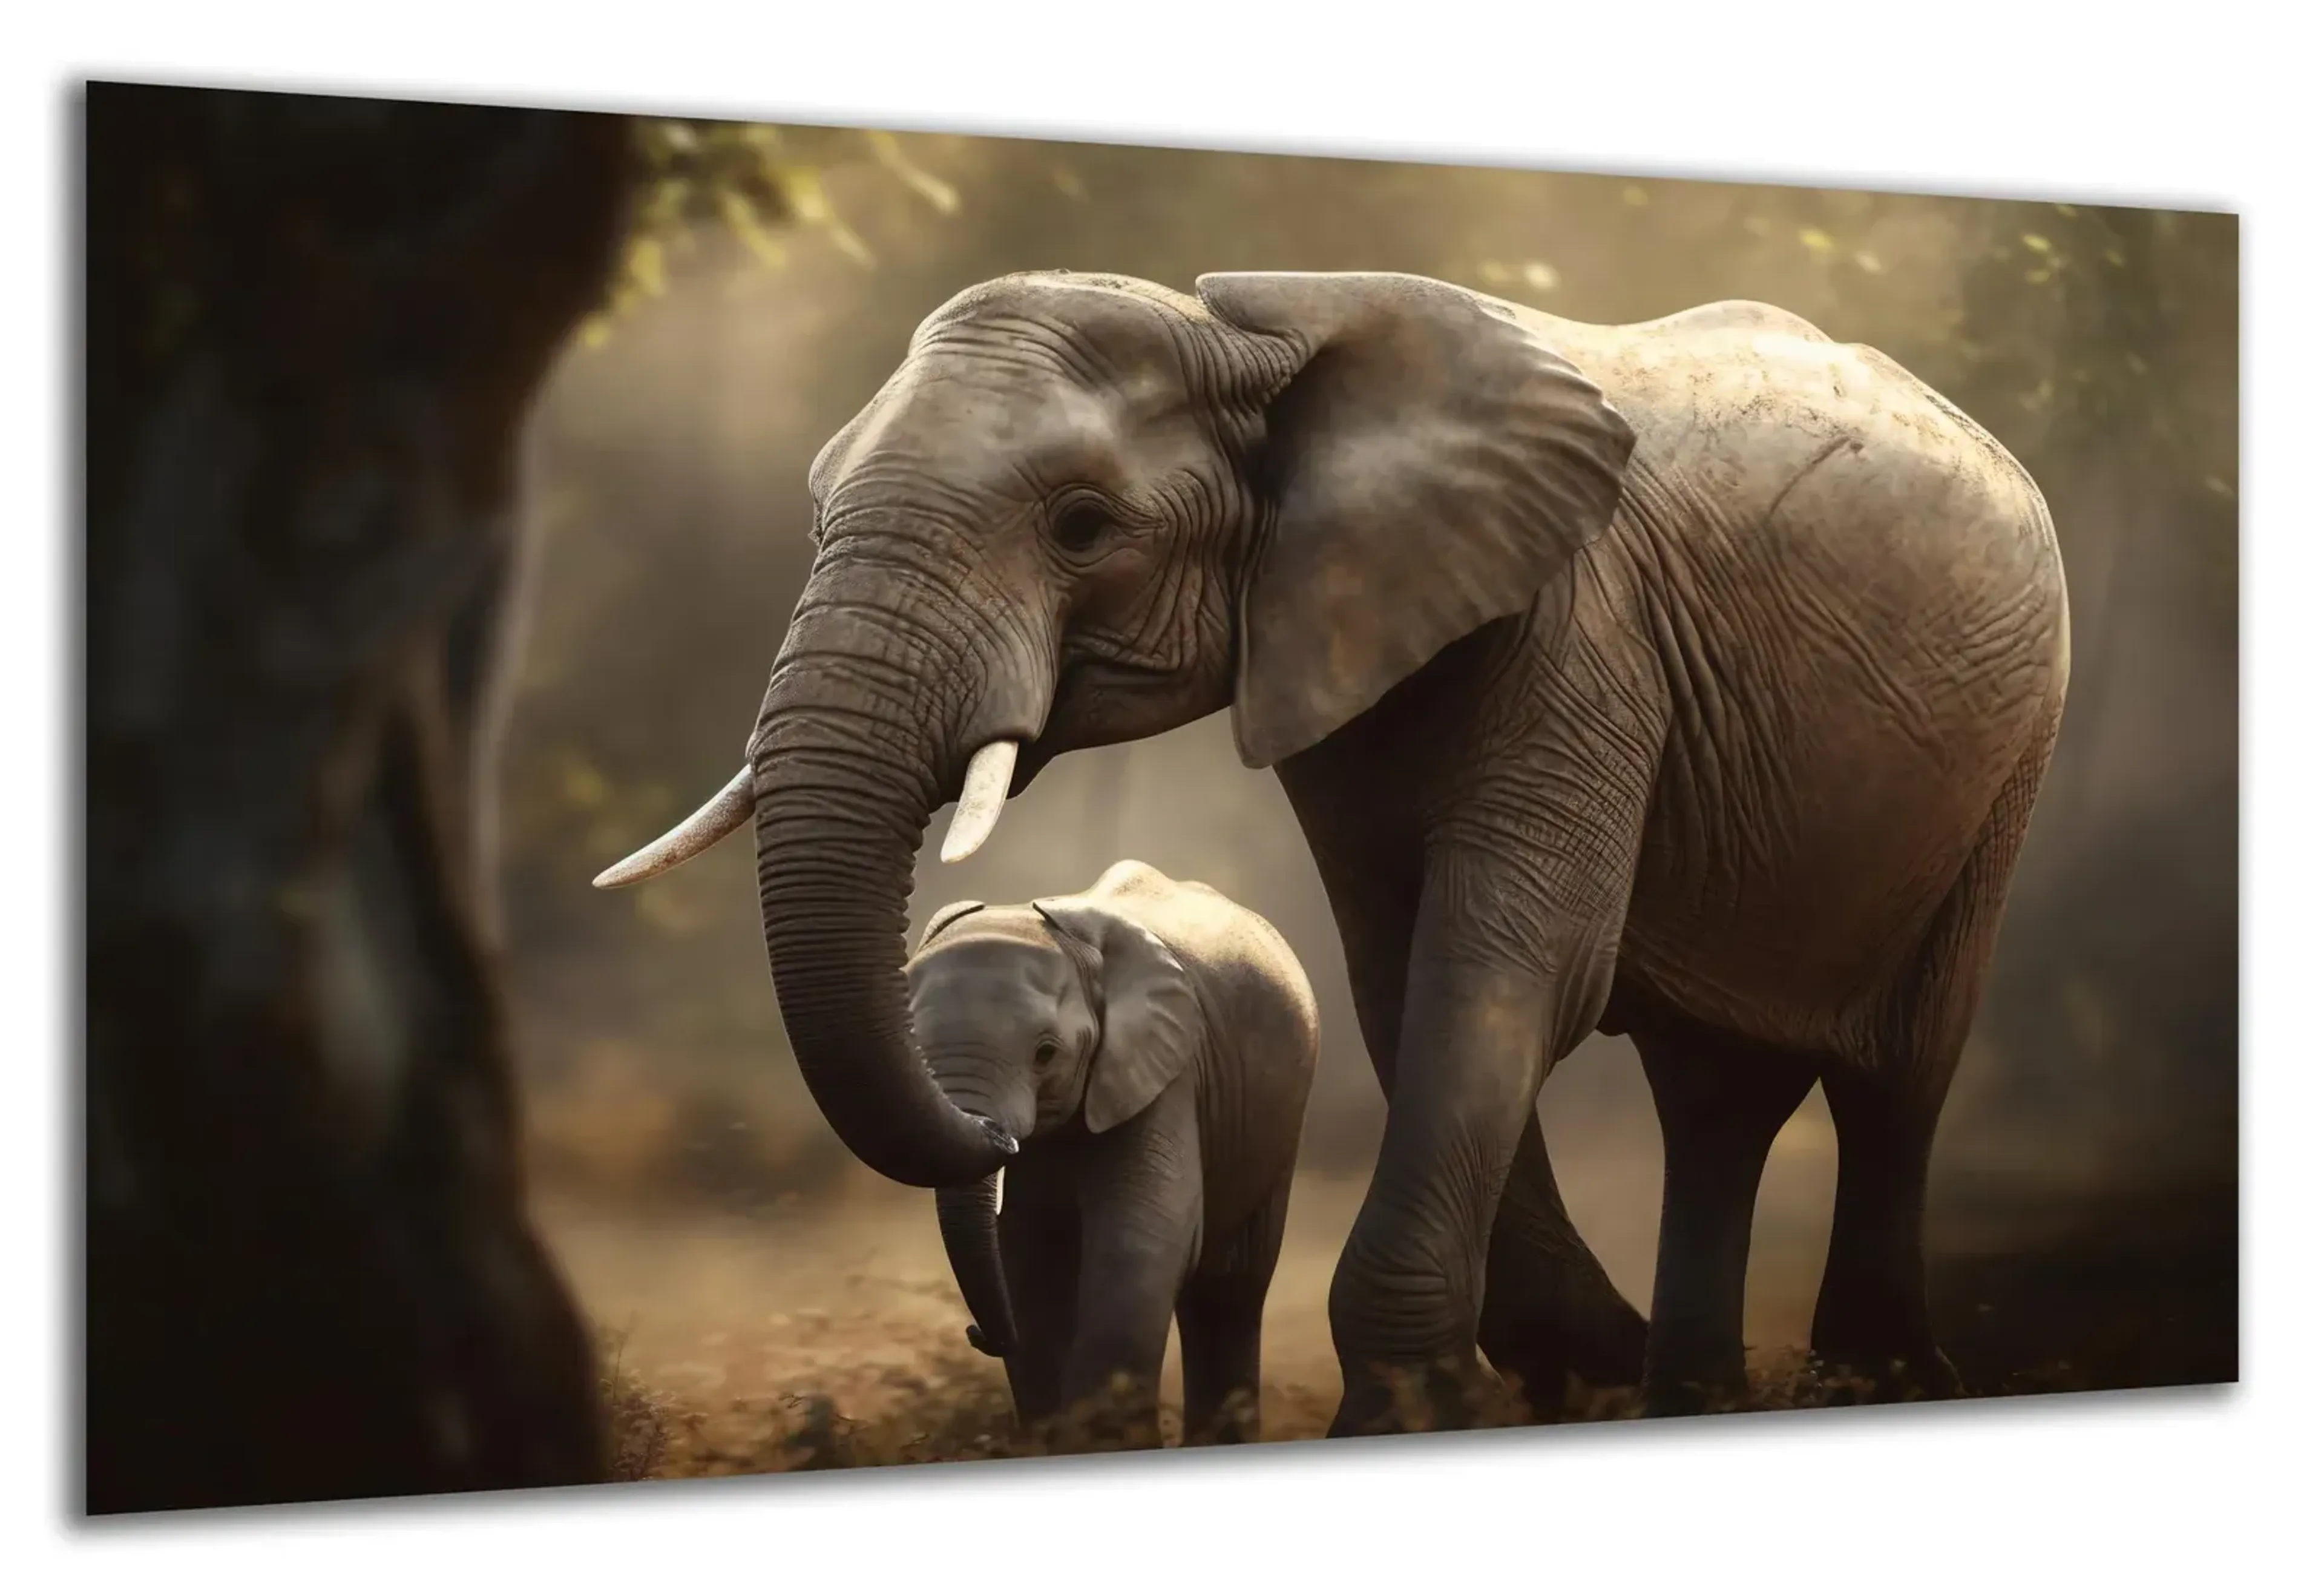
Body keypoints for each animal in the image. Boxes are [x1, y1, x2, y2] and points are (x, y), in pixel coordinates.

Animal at [904, 860, 1318, 1445]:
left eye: (1046, 1054)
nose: (976, 1333)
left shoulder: (1167, 1072)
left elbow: (1139, 1243)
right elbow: (1024, 1257)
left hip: (1277, 1127)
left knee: (1231, 1289)